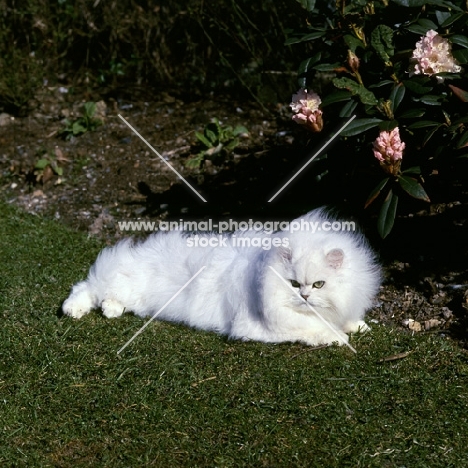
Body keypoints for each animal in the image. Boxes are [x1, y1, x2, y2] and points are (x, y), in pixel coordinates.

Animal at [63, 210, 380, 346]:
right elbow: (313, 330)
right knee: (87, 287)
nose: (304, 296)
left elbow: (345, 319)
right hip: (121, 283)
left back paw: (110, 310)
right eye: (293, 284)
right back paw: (72, 310)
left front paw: (359, 326)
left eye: (318, 285)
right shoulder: (265, 328)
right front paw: (338, 338)